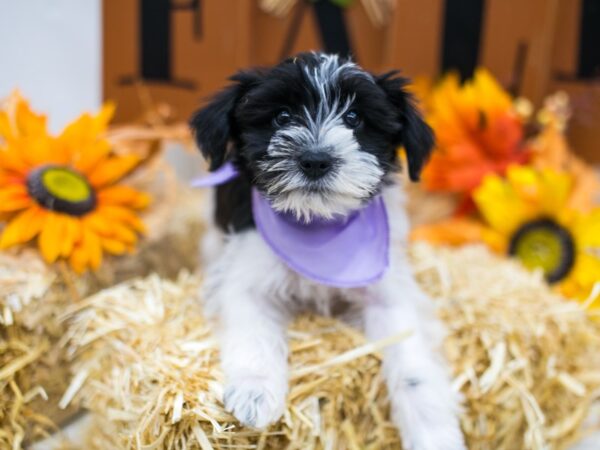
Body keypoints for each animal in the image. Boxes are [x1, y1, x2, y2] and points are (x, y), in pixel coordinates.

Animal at [191, 52, 464, 450]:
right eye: (281, 117)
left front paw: (434, 434)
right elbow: (254, 330)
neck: (318, 223)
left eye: (354, 118)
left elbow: (414, 365)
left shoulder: (389, 293)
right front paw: (255, 392)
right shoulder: (247, 277)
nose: (316, 160)